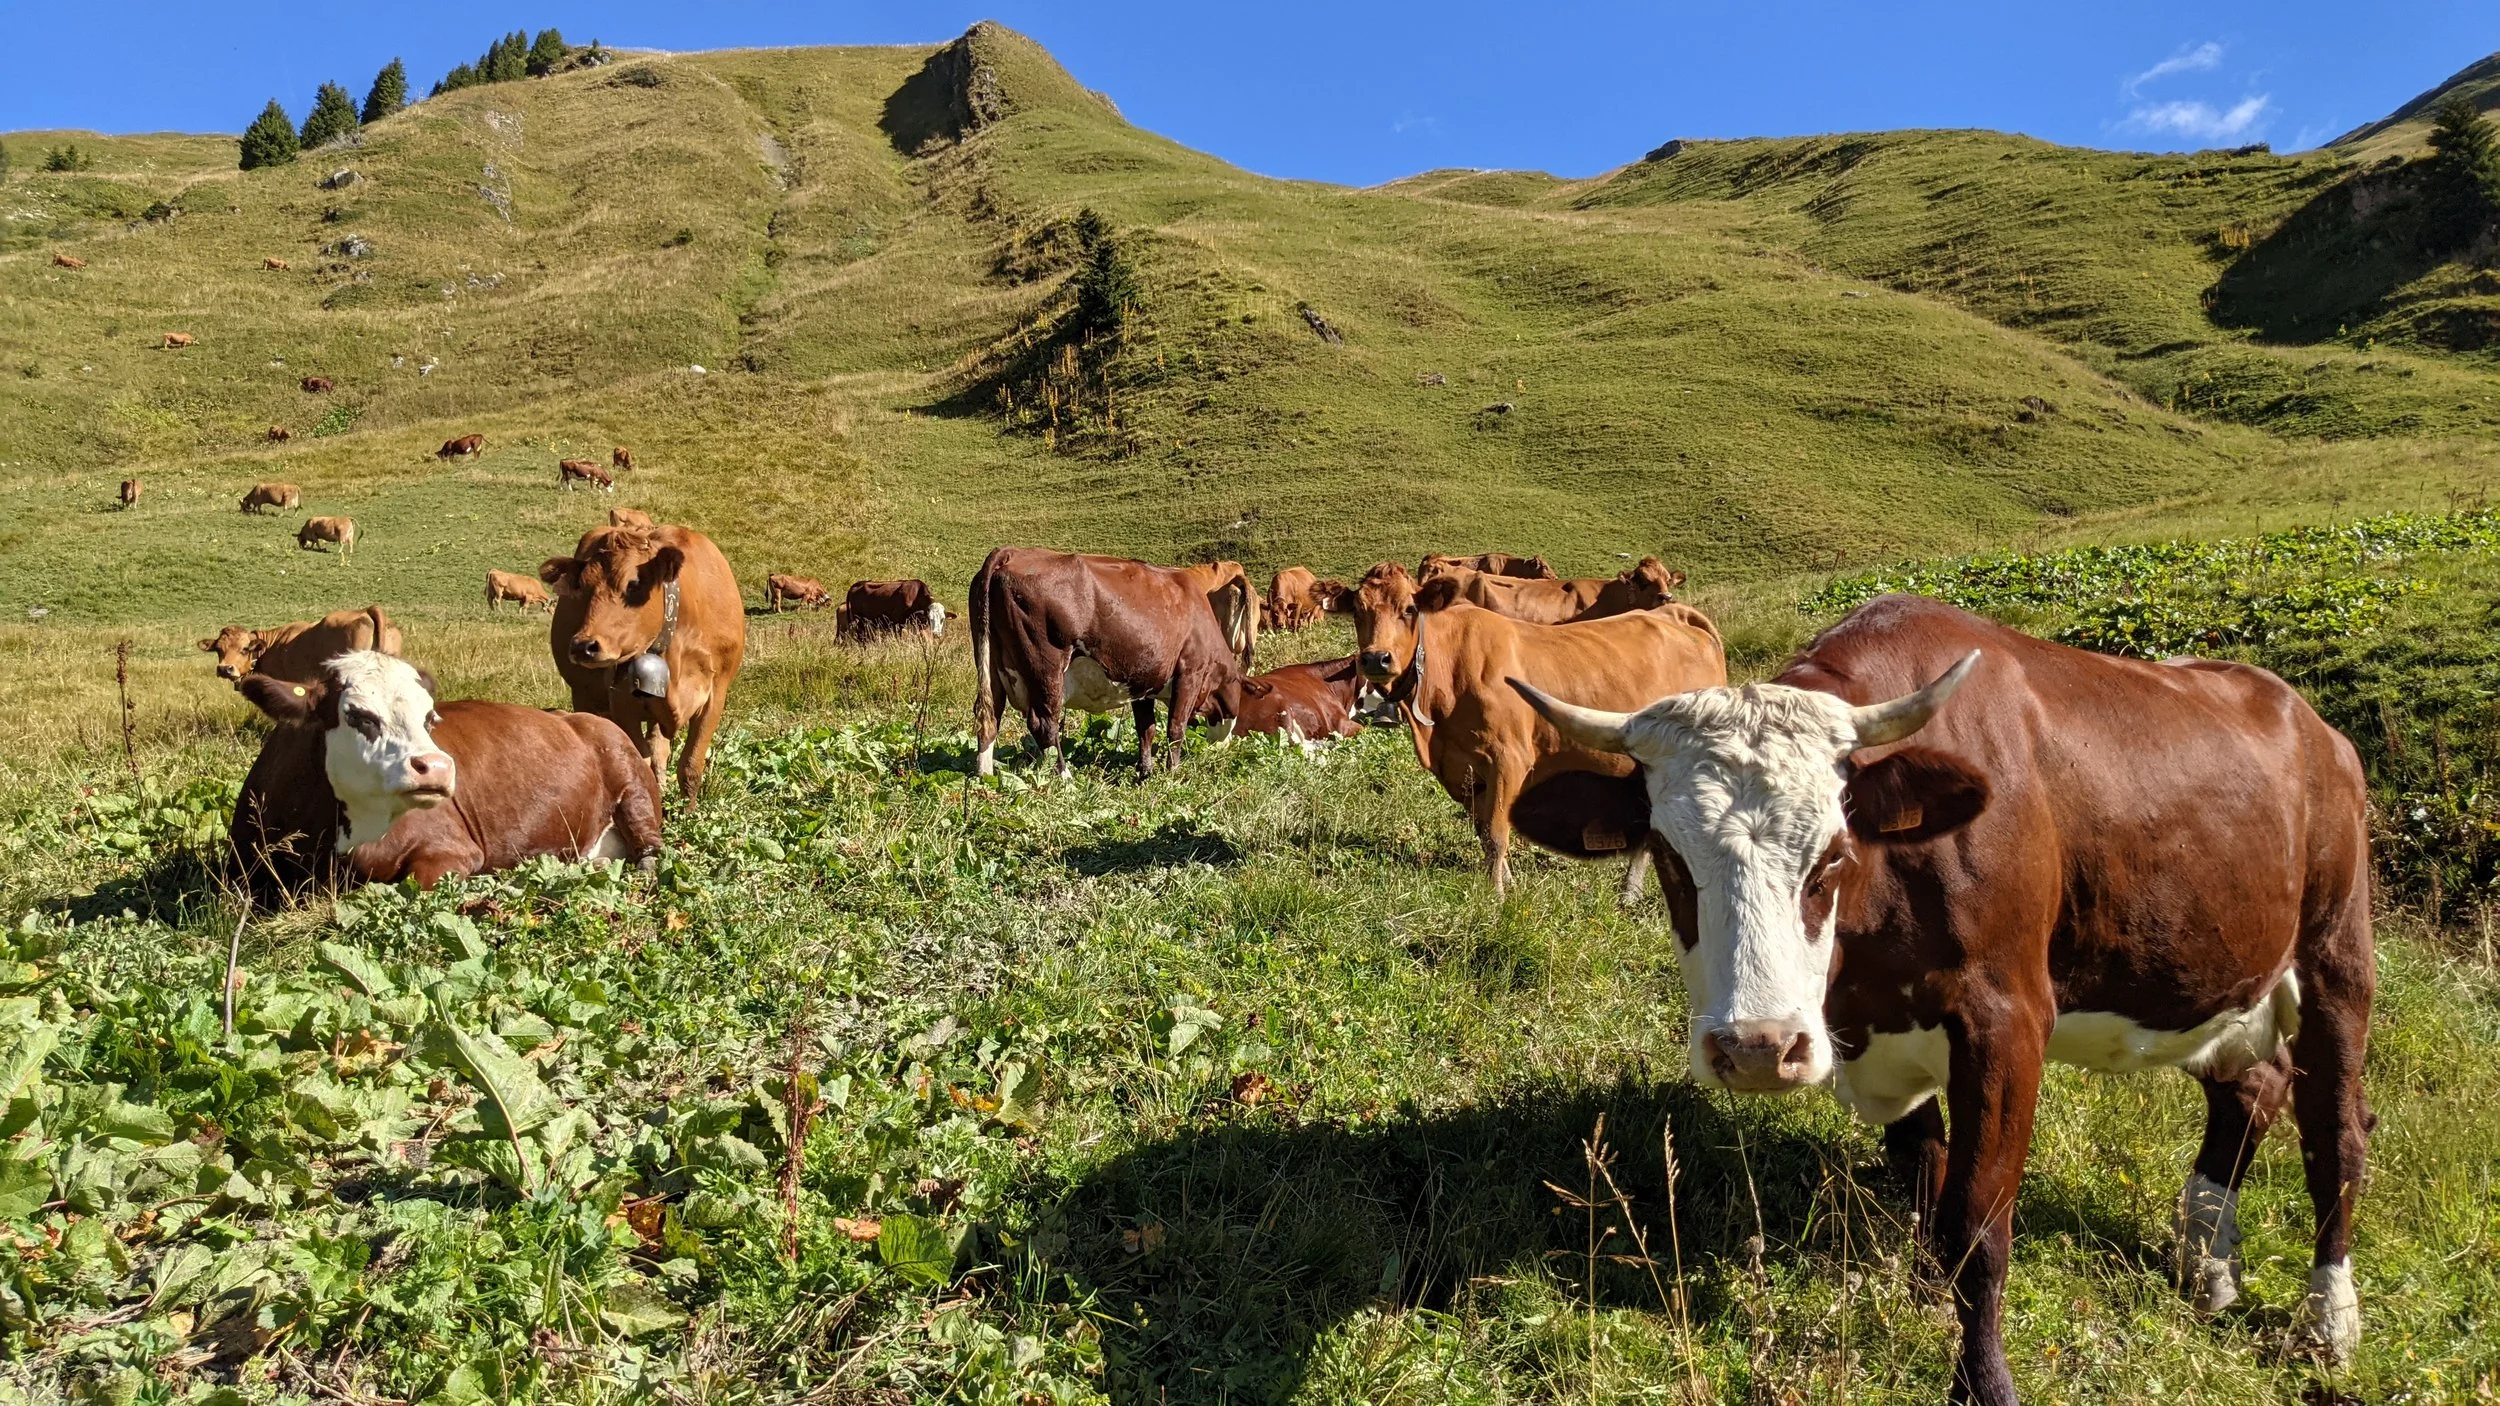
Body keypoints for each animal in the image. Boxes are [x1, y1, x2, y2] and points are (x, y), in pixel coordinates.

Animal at [227, 651, 662, 904]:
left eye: (429, 718)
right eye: (359, 716)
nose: (436, 766)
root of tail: (577, 717)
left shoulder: (452, 850)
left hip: (631, 783)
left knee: (650, 853)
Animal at [541, 522, 747, 802]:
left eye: (634, 584)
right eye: (582, 586)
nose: (583, 646)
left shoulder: (716, 693)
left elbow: (690, 767)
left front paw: (689, 811)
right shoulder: (621, 702)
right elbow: (639, 763)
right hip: (584, 696)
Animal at [969, 548, 1249, 780]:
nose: (1223, 748)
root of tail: (1011, 552)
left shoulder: (1143, 682)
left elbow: (1146, 729)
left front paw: (1145, 772)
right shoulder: (1190, 672)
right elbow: (1175, 729)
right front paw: (1173, 774)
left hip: (990, 661)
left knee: (989, 716)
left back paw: (985, 775)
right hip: (1046, 666)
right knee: (1044, 723)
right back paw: (1065, 778)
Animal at [1509, 593, 2375, 1402]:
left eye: (1832, 856)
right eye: (1668, 857)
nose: (1757, 1049)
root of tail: (2311, 723)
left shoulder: (2006, 1022)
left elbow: (1976, 1221)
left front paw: (1983, 1378)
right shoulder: (1874, 1028)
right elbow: (1925, 1176)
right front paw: (1928, 1297)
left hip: (2336, 952)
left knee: (2335, 1131)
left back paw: (2327, 1320)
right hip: (2212, 974)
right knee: (2252, 1088)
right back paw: (2207, 1261)